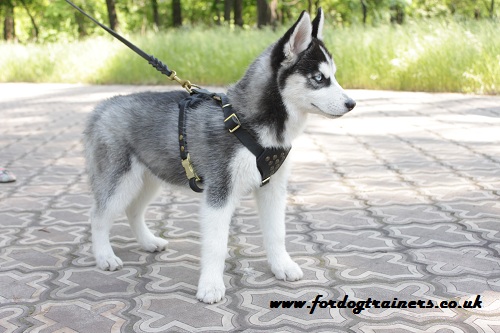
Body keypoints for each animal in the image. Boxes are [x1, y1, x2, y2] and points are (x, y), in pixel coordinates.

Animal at [83, 8, 356, 304]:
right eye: (318, 78)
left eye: (334, 76)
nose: (352, 103)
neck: (248, 124)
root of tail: (102, 107)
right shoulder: (219, 192)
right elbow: (216, 245)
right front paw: (211, 286)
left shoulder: (273, 188)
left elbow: (277, 233)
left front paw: (281, 266)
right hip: (120, 181)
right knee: (98, 217)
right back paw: (105, 256)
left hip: (149, 179)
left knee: (133, 210)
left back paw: (148, 241)